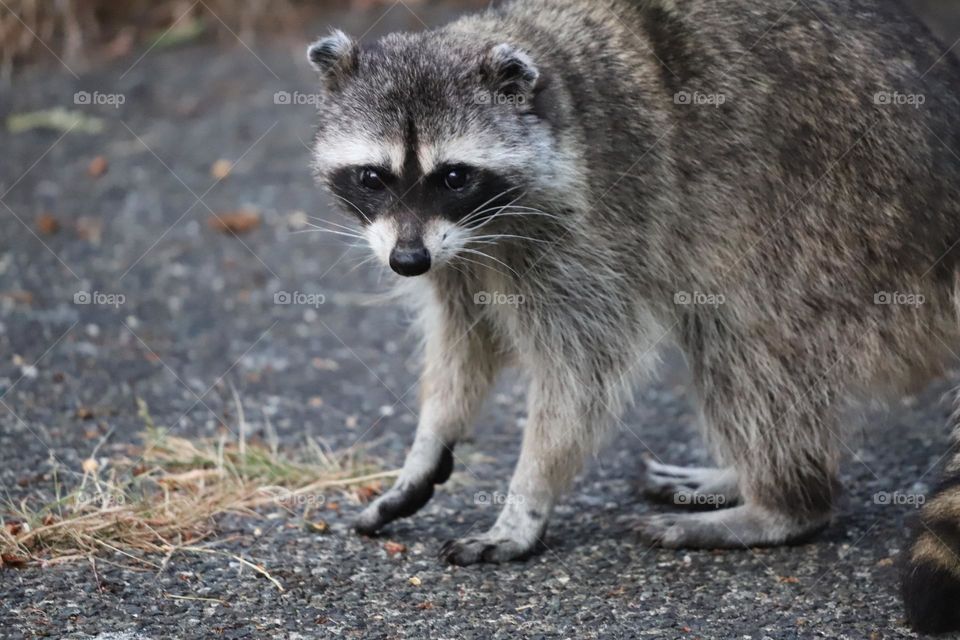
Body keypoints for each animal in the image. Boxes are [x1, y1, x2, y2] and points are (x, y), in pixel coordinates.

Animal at [306, 0, 960, 632]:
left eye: (453, 176)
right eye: (373, 177)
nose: (406, 262)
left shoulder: (597, 219)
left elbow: (582, 371)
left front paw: (527, 499)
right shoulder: (455, 258)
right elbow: (464, 342)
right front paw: (428, 441)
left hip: (842, 225)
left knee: (747, 343)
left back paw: (783, 503)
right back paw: (741, 479)